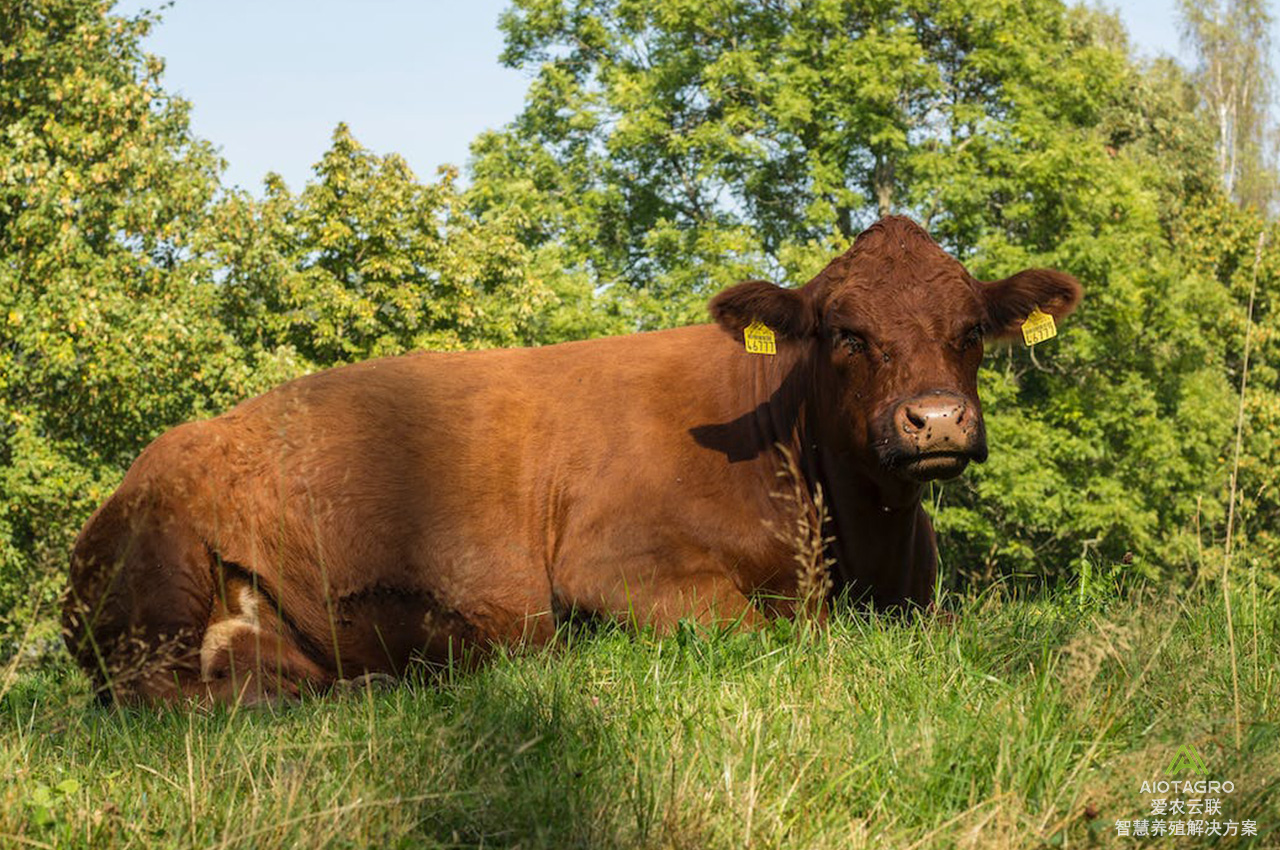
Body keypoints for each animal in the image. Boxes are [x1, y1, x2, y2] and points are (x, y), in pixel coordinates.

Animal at [60, 213, 1080, 701]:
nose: (935, 420)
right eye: (845, 333)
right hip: (157, 585)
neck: (848, 538)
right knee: (161, 700)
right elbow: (773, 632)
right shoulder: (617, 567)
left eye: (969, 330)